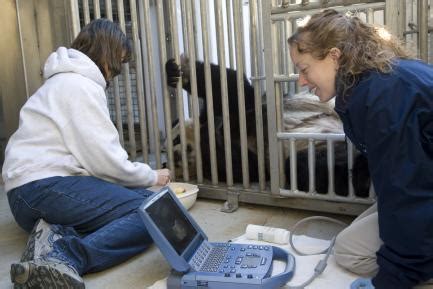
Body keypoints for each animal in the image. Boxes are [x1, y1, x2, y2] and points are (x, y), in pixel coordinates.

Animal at [165, 56, 368, 196]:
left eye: (175, 138)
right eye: (166, 158)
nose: (176, 155)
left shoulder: (238, 109)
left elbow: (232, 89)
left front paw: (178, 72)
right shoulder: (223, 167)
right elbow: (243, 165)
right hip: (323, 146)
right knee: (312, 167)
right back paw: (361, 174)